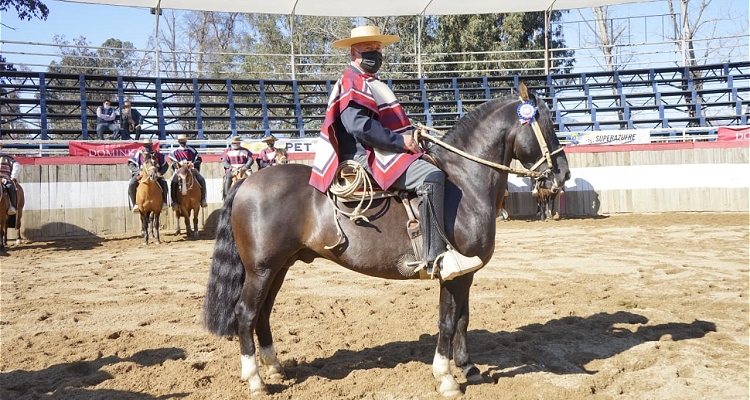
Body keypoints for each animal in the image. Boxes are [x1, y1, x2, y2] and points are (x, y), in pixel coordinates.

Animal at [203, 83, 572, 398]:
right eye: (546, 124)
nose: (562, 174)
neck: (465, 183)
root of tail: (248, 182)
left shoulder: (466, 274)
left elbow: (463, 319)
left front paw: (468, 367)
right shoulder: (451, 275)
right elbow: (447, 321)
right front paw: (446, 377)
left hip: (279, 267)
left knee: (263, 313)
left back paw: (274, 367)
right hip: (261, 269)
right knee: (246, 313)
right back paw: (255, 380)